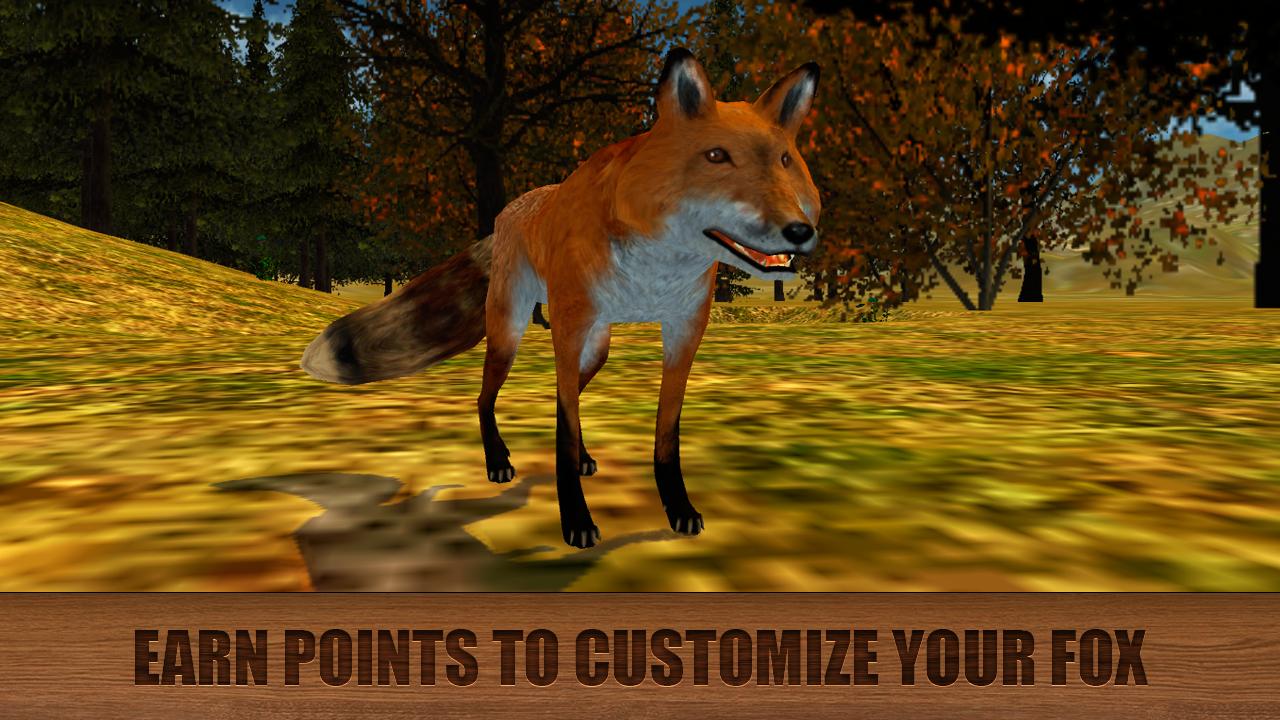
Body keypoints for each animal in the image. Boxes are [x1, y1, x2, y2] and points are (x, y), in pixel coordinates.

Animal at [300, 48, 821, 548]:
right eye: (717, 156)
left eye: (784, 162)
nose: (799, 231)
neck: (655, 270)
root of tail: (508, 212)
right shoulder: (569, 326)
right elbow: (565, 433)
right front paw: (576, 521)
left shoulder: (684, 330)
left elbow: (661, 436)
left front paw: (677, 508)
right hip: (510, 332)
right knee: (487, 398)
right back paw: (497, 461)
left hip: (597, 345)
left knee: (560, 397)